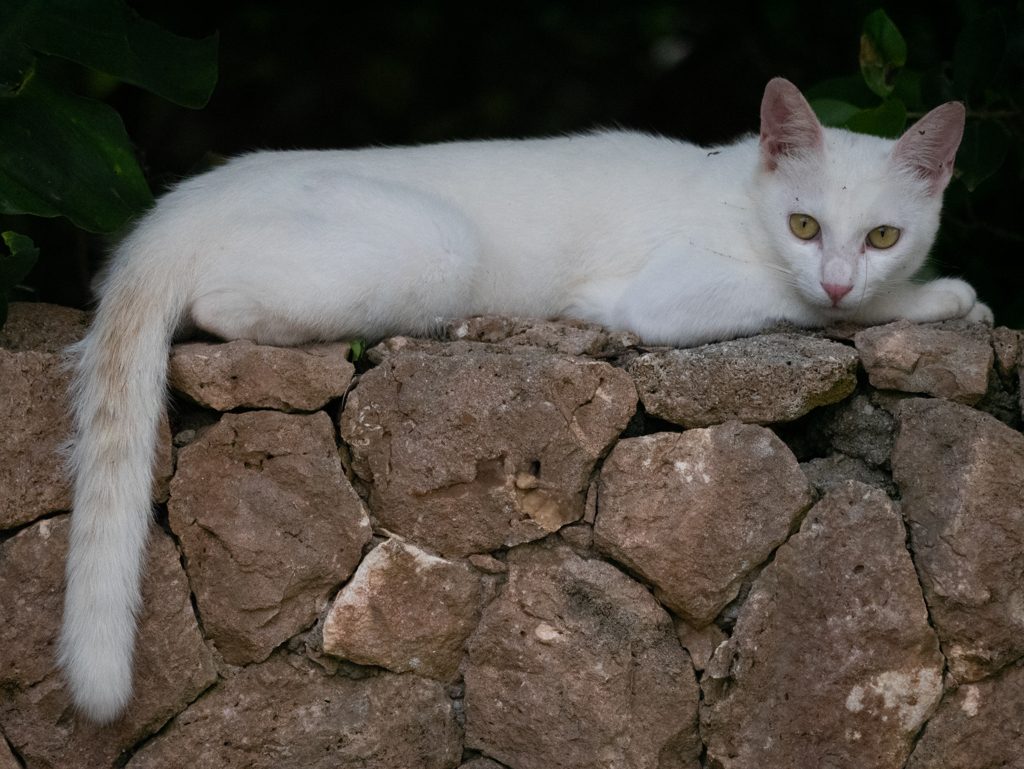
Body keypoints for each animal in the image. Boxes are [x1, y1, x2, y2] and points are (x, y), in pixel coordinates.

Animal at [61, 78, 991, 720]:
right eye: (804, 226)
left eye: (882, 235)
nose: (836, 273)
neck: (741, 195)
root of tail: (173, 210)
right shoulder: (662, 296)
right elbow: (814, 307)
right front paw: (938, 298)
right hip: (434, 245)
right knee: (219, 307)